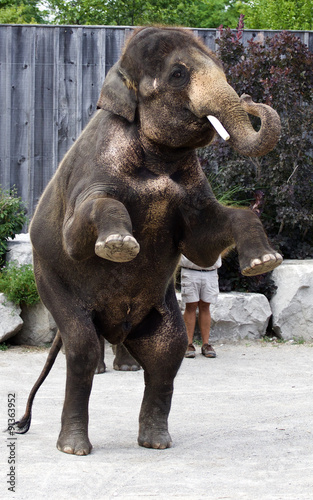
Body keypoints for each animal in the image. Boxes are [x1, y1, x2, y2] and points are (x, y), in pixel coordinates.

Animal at [12, 27, 282, 458]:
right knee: (83, 347)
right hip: (49, 279)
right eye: (178, 74)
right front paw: (120, 245)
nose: (248, 98)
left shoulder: (193, 191)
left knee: (167, 353)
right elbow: (80, 230)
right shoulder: (92, 172)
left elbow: (203, 240)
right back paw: (74, 448)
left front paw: (264, 262)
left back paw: (156, 441)